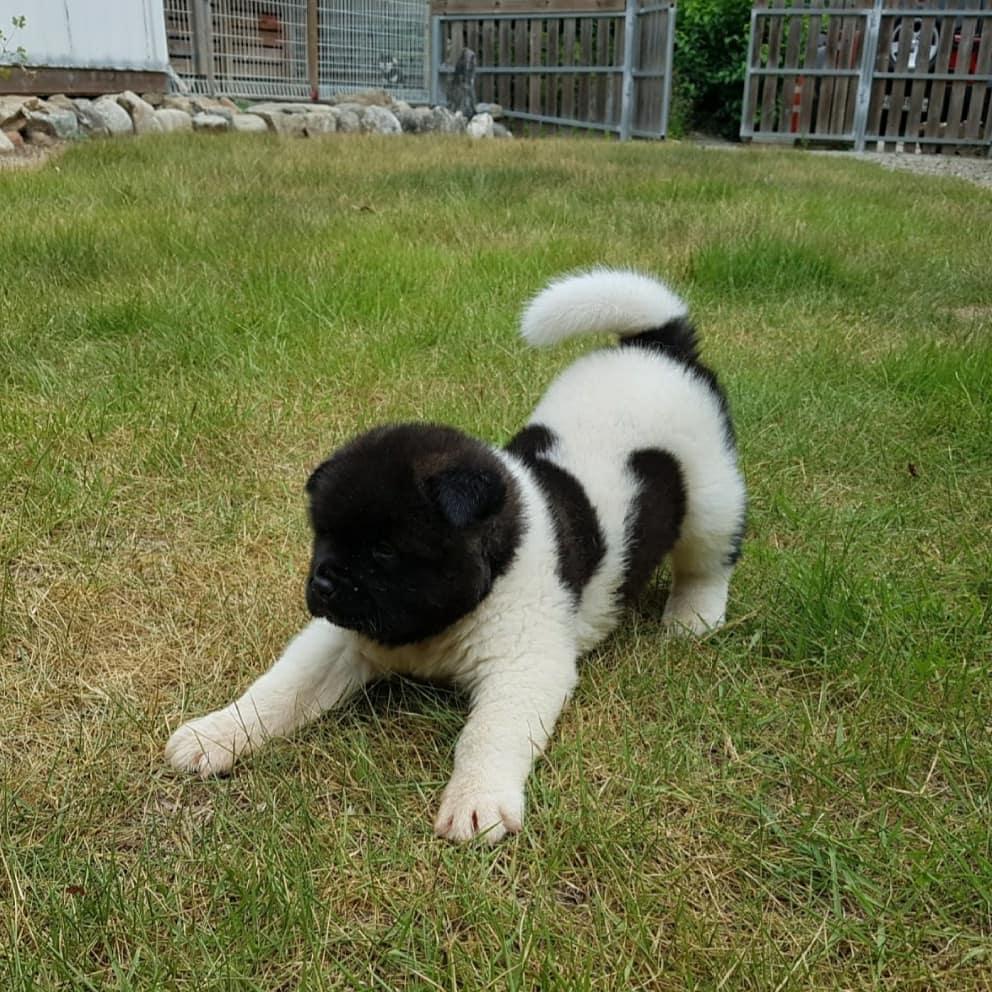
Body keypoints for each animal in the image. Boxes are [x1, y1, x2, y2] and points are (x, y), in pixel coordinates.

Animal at [166, 270, 747, 843]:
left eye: (384, 549)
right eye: (322, 537)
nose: (323, 586)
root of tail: (657, 345)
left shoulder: (523, 665)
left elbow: (489, 734)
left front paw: (477, 801)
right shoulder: (338, 640)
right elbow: (279, 690)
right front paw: (214, 735)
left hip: (711, 494)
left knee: (708, 559)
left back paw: (692, 618)